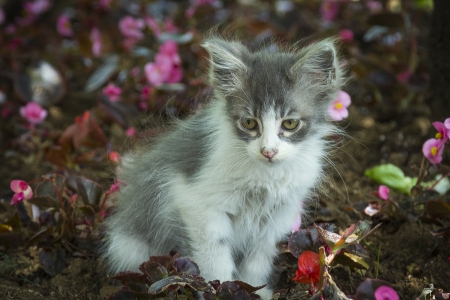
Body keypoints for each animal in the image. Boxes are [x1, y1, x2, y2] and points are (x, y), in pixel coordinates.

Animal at [101, 37, 342, 298]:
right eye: (249, 123)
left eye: (289, 124)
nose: (268, 151)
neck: (265, 177)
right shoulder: (196, 202)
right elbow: (215, 256)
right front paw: (223, 289)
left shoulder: (279, 213)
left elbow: (259, 257)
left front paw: (256, 289)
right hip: (134, 246)